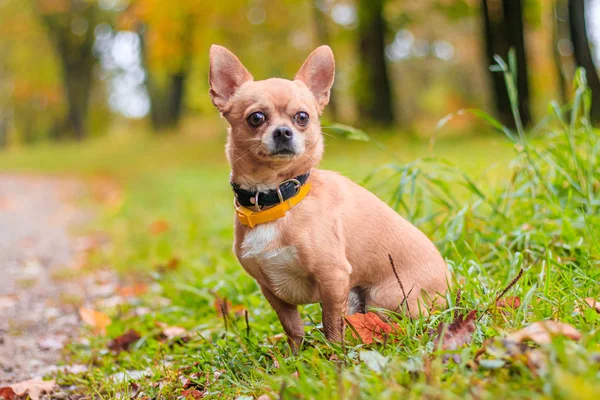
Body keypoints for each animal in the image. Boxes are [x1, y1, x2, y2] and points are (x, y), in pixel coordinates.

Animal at [209, 45, 448, 348]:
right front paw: (295, 357)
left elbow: (332, 323)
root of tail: (450, 284)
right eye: (256, 118)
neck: (276, 200)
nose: (283, 132)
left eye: (302, 117)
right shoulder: (270, 290)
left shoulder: (333, 277)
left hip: (386, 296)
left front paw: (333, 354)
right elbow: (292, 328)